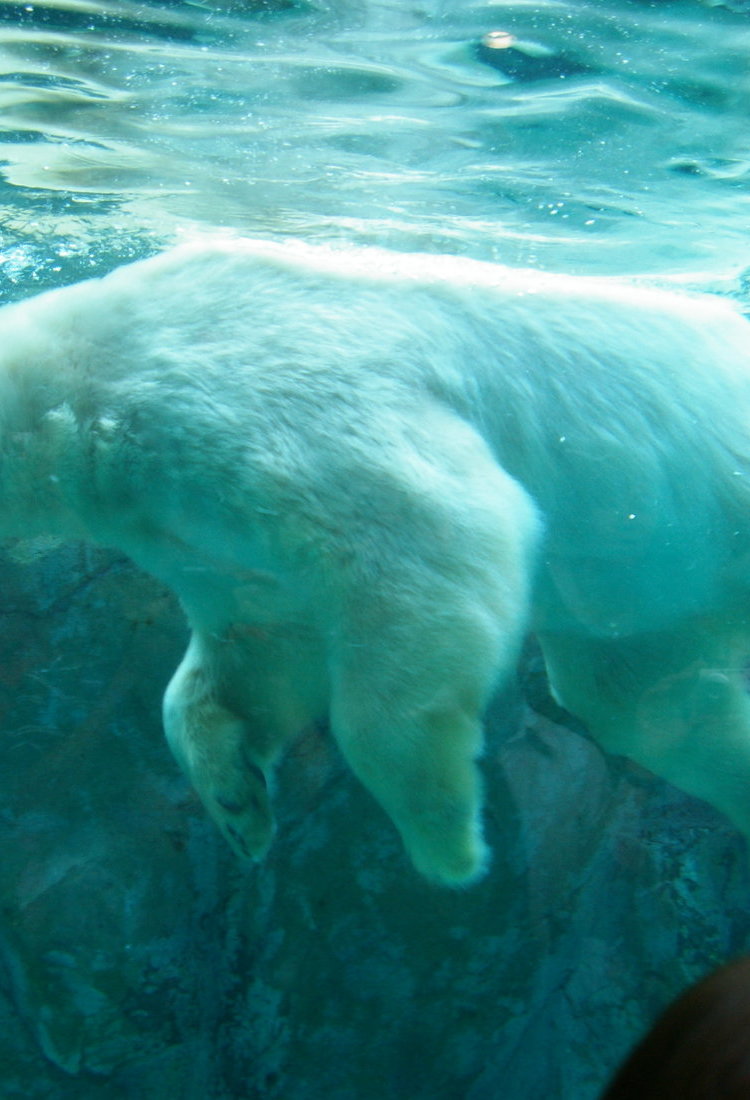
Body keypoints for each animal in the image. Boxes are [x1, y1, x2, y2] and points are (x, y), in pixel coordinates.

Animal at [1, 236, 747, 880]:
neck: (78, 389)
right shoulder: (188, 534)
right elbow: (258, 643)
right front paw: (237, 804)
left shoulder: (235, 391)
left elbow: (428, 536)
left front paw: (445, 839)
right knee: (641, 696)